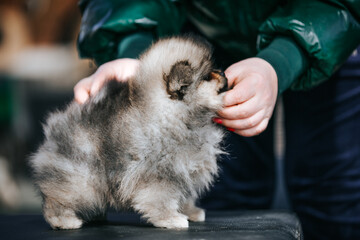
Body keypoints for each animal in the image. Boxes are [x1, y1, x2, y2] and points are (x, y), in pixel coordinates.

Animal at [29, 35, 226, 229]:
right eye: (207, 76)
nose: (223, 73)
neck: (173, 116)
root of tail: (54, 129)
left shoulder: (185, 171)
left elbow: (184, 196)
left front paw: (190, 212)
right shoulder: (159, 174)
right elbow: (161, 199)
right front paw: (170, 218)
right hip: (80, 181)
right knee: (56, 199)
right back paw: (64, 220)